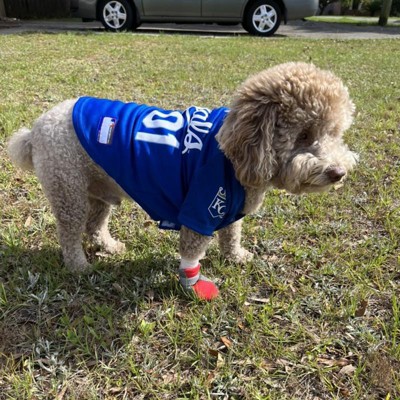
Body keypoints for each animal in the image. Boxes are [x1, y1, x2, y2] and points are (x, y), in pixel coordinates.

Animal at [7, 62, 356, 300]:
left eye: (335, 133)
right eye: (304, 135)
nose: (338, 173)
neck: (233, 152)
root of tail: (35, 131)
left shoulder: (230, 206)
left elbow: (232, 233)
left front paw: (235, 257)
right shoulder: (202, 208)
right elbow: (192, 254)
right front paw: (194, 288)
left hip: (99, 191)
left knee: (95, 226)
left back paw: (110, 246)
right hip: (68, 191)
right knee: (69, 234)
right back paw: (79, 266)